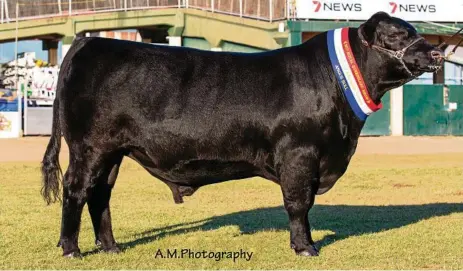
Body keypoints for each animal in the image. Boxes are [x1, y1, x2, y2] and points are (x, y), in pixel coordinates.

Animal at [41, 12, 444, 260]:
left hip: (113, 151)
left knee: (100, 194)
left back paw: (110, 247)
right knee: (77, 190)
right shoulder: (299, 154)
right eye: (397, 34)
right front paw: (305, 247)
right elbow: (298, 204)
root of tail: (90, 43)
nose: (438, 52)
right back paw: (71, 249)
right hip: (90, 147)